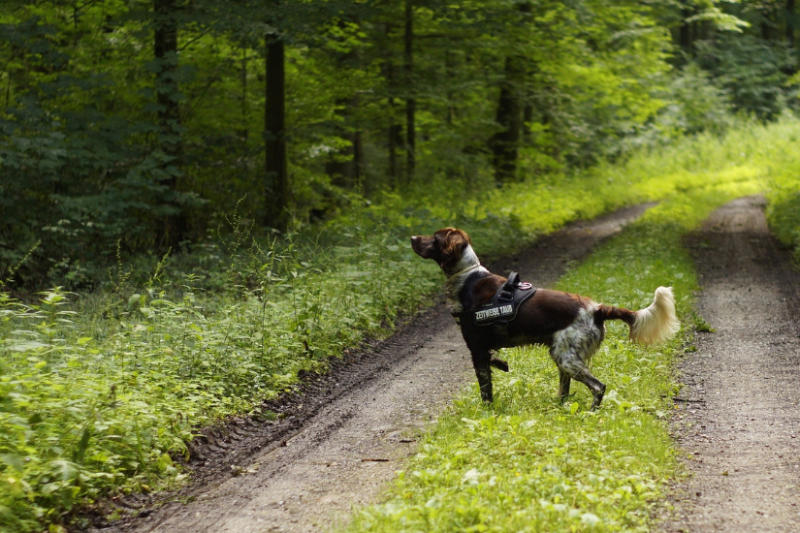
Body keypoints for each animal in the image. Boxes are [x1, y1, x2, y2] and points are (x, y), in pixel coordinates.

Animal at [412, 225, 680, 408]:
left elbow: (485, 389)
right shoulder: (485, 349)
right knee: (566, 391)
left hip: (566, 358)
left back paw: (591, 411)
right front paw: (502, 363)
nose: (413, 237)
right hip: (562, 356)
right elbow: (495, 363)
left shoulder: (476, 348)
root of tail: (596, 308)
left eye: (434, 238)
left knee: (598, 387)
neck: (467, 277)